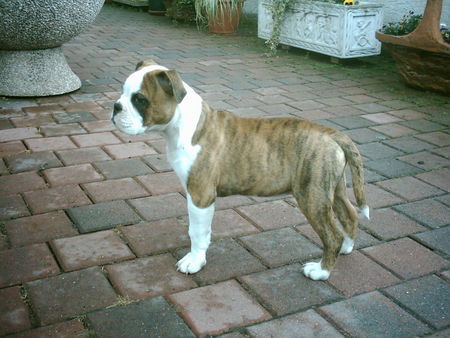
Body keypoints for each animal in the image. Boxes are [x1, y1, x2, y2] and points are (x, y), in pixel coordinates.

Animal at [112, 60, 370, 280]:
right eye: (123, 93)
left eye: (140, 99)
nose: (115, 107)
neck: (185, 125)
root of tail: (332, 133)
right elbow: (203, 232)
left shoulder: (200, 196)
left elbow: (196, 231)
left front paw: (194, 261)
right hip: (332, 188)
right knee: (349, 215)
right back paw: (346, 248)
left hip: (312, 195)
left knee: (332, 235)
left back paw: (321, 271)